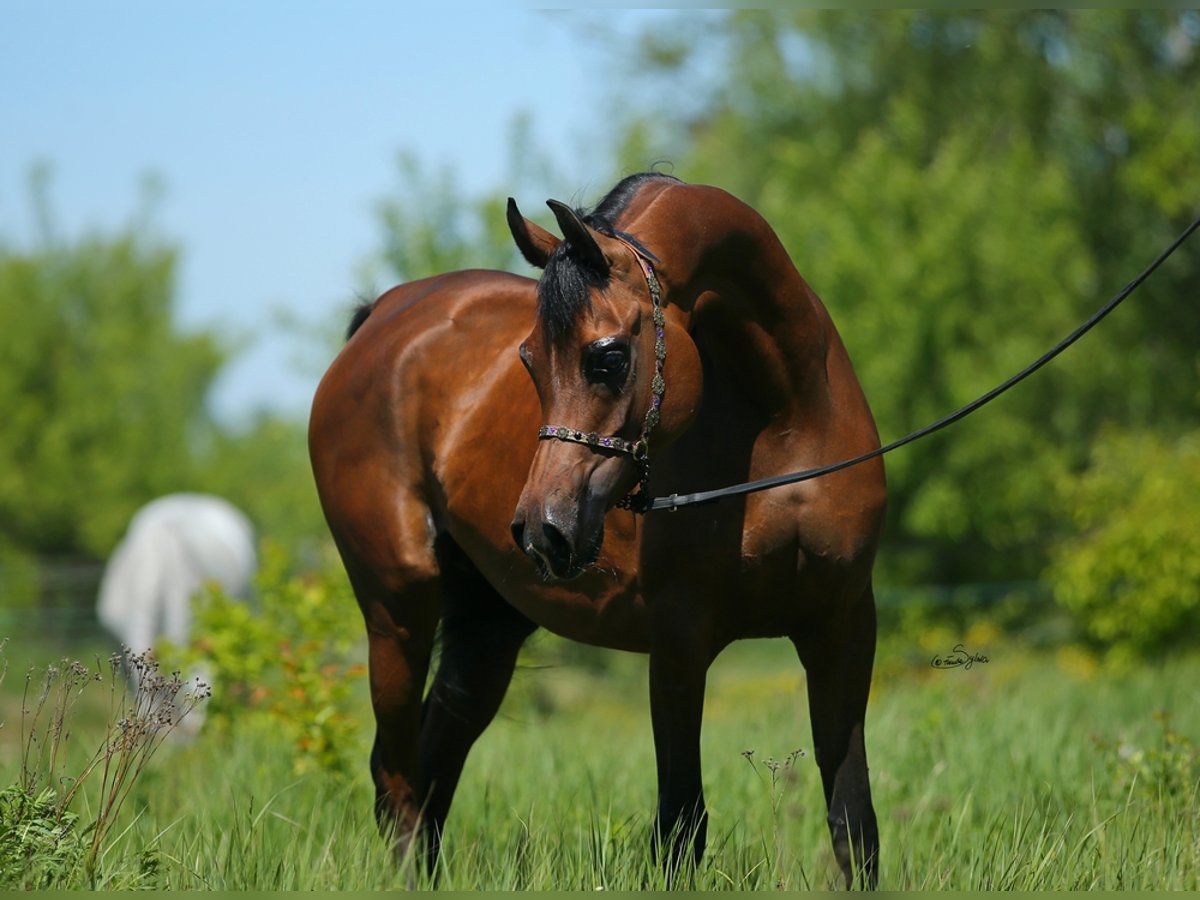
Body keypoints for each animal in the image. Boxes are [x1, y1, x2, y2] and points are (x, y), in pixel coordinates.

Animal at [307, 172, 892, 892]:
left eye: (607, 357)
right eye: (528, 361)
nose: (542, 529)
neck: (786, 423)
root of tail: (382, 319)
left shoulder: (843, 627)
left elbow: (853, 820)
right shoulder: (680, 641)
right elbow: (681, 824)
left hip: (487, 627)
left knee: (434, 760)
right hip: (397, 612)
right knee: (396, 780)